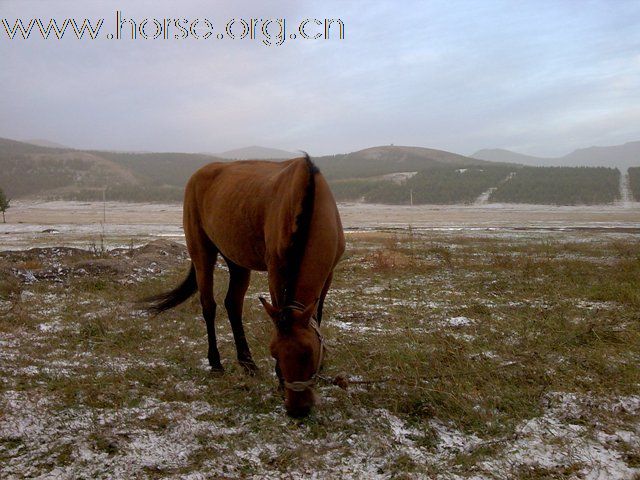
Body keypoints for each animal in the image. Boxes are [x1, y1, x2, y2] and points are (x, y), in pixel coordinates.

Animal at [146, 155, 344, 416]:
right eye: (274, 353)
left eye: (308, 353)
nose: (297, 409)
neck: (311, 199)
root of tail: (198, 175)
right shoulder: (276, 272)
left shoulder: (329, 274)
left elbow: (317, 316)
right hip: (202, 253)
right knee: (209, 306)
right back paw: (216, 363)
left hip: (237, 262)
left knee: (233, 304)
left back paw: (248, 363)